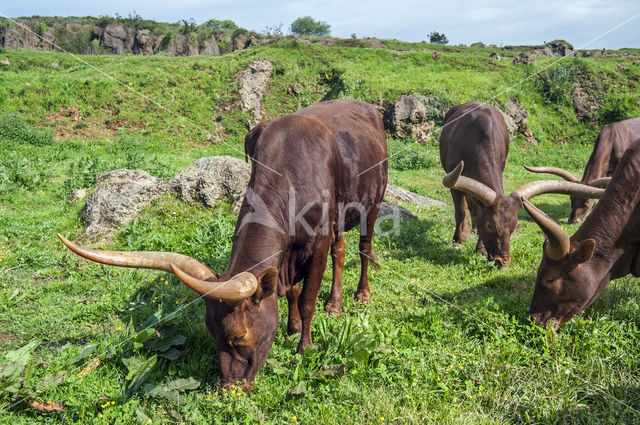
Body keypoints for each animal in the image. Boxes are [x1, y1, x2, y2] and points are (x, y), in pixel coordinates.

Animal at [57, 97, 388, 390]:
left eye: (238, 337)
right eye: (212, 334)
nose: (229, 387)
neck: (291, 173)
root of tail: (368, 107)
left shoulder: (316, 242)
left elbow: (307, 299)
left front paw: (304, 347)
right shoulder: (287, 257)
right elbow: (292, 293)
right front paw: (292, 330)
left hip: (372, 203)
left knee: (364, 248)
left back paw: (360, 294)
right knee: (340, 250)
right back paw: (334, 302)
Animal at [442, 102, 608, 264]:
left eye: (513, 226)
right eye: (490, 225)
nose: (502, 261)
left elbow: (477, 210)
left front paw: (480, 247)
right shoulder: (454, 179)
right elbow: (460, 212)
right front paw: (457, 241)